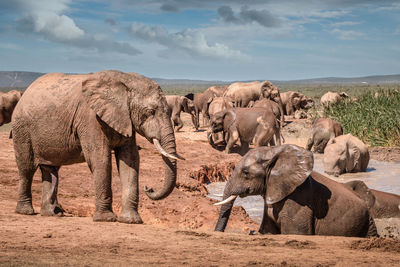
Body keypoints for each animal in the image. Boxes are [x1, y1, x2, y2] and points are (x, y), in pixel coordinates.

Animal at [10, 69, 183, 224]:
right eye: (151, 112)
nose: (149, 188)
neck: (125, 80)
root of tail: (26, 92)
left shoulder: (126, 120)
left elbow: (130, 160)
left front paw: (132, 221)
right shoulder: (90, 119)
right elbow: (101, 159)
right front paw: (106, 219)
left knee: (50, 170)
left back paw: (52, 214)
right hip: (22, 129)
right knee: (26, 168)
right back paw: (26, 211)